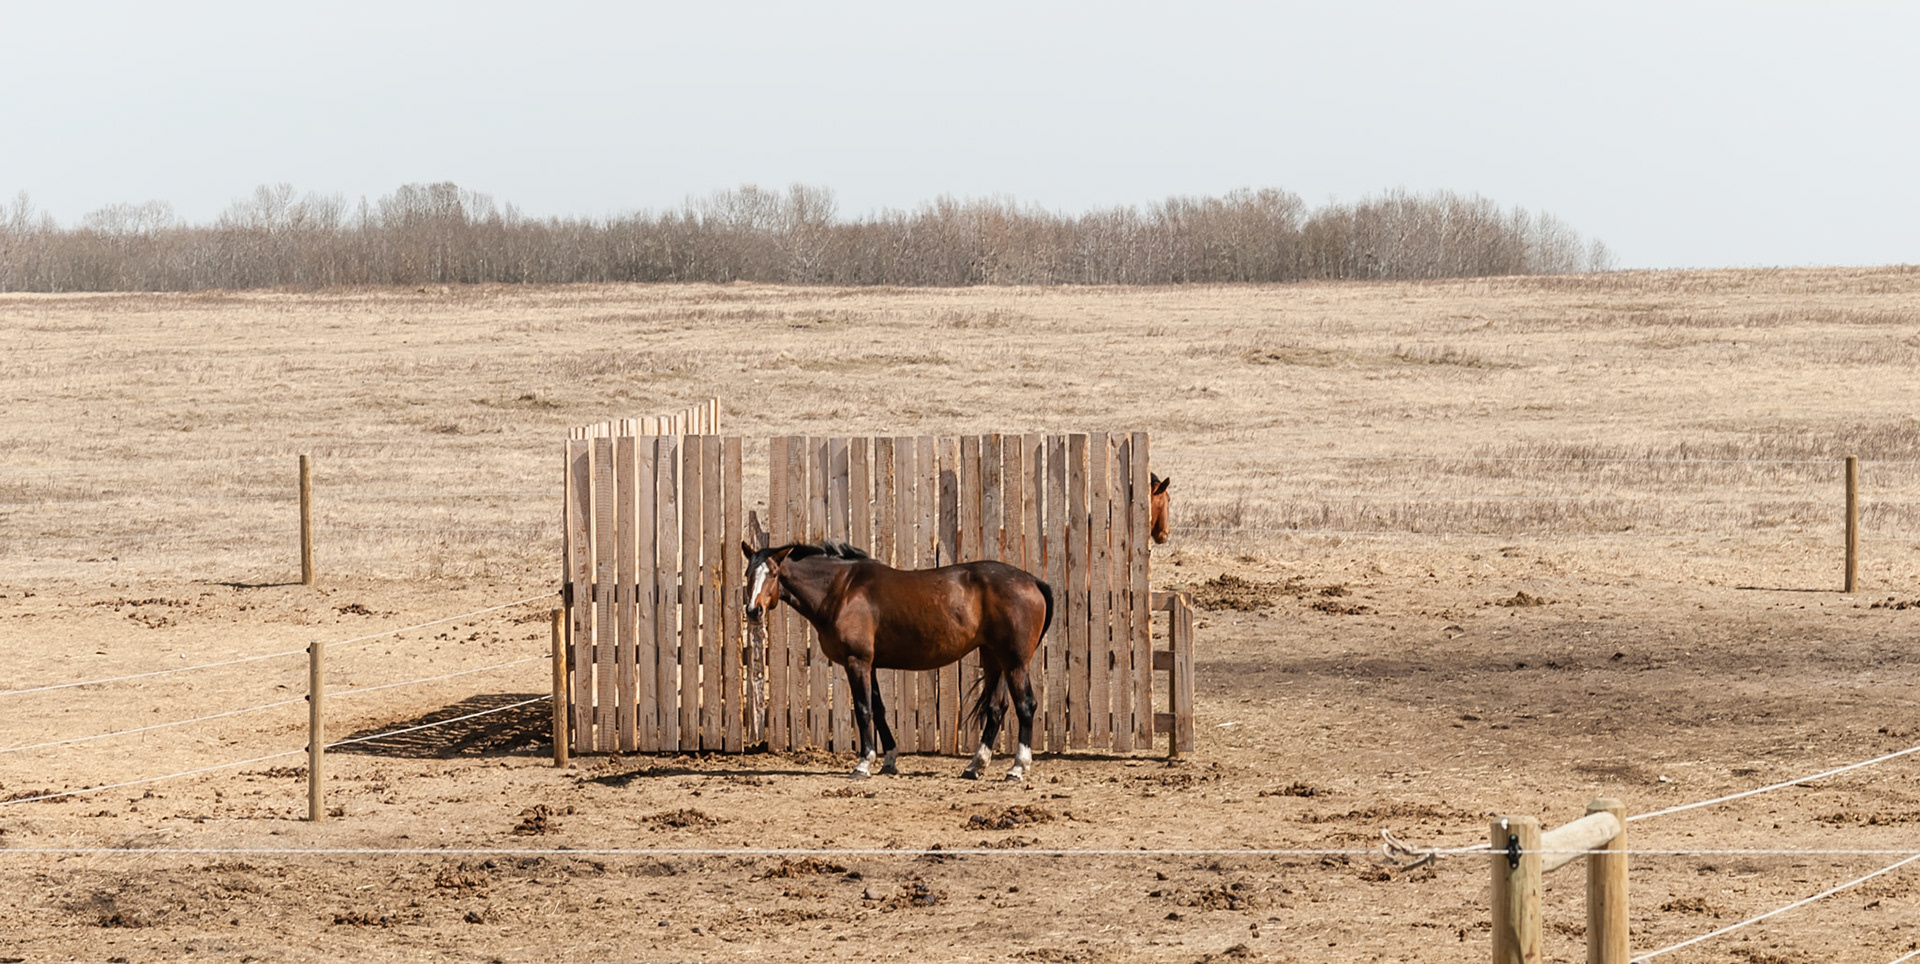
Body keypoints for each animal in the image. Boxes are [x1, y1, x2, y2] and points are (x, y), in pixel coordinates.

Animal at [741, 541, 1053, 781]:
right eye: (748, 573)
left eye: (773, 574)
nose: (753, 611)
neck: (842, 590)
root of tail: (1032, 581)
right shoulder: (870, 665)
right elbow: (878, 710)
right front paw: (889, 759)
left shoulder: (857, 661)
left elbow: (864, 710)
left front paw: (864, 763)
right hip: (993, 658)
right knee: (996, 708)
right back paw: (976, 765)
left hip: (1014, 662)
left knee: (1026, 705)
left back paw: (1017, 767)